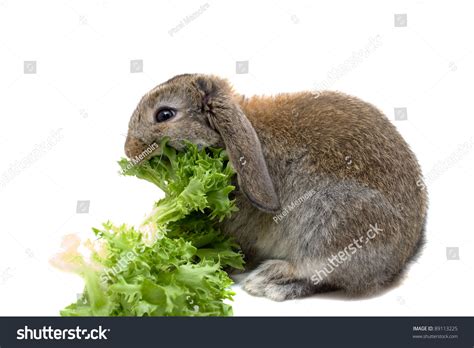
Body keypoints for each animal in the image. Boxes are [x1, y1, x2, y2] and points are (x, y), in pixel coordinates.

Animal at [124, 74, 428, 302]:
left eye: (164, 114)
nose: (129, 151)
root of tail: (403, 257)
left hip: (334, 221)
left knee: (319, 273)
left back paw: (268, 281)